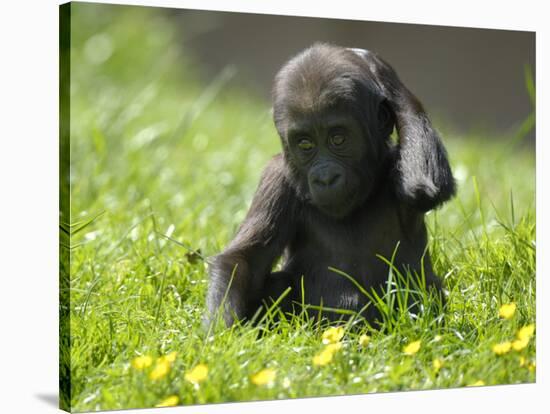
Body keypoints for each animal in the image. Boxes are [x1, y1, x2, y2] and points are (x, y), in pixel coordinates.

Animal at [207, 42, 458, 326]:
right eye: (305, 144)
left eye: (338, 139)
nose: (325, 178)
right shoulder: (276, 178)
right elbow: (242, 261)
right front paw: (221, 332)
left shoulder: (400, 167)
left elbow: (424, 187)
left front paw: (377, 68)